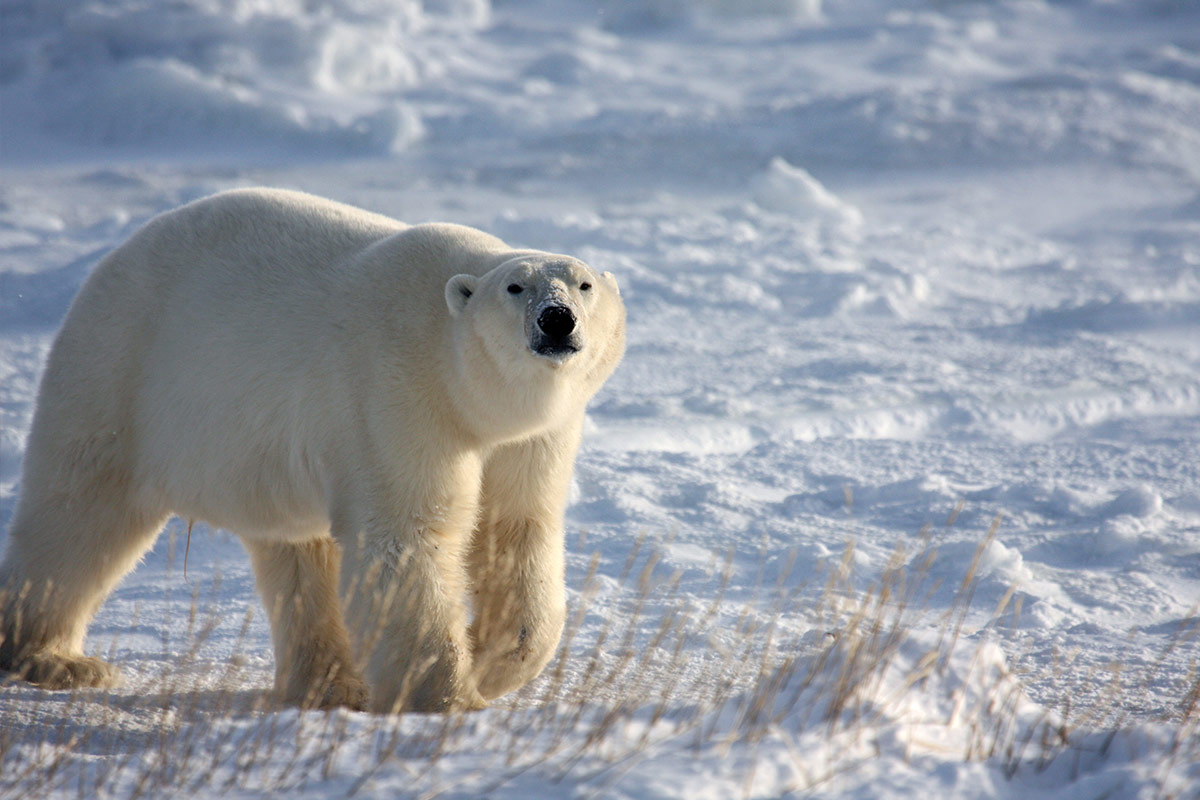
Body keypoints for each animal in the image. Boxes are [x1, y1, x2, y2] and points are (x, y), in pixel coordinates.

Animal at [2, 188, 628, 714]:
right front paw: (449, 697)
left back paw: (329, 684)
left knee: (296, 553)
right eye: (515, 288)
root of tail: (111, 261)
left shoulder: (531, 436)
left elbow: (515, 529)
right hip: (117, 375)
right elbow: (407, 539)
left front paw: (489, 663)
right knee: (80, 518)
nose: (556, 320)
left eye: (583, 285)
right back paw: (55, 659)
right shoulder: (395, 392)